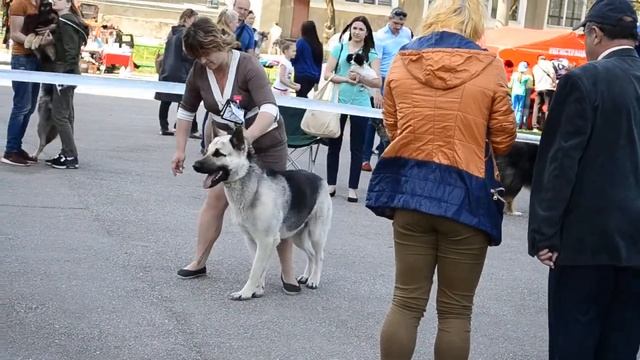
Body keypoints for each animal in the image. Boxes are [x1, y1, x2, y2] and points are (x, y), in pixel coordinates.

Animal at [192, 126, 332, 300]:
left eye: (218, 153)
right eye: (207, 151)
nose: (194, 165)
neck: (253, 189)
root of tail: (320, 179)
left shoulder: (266, 241)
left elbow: (256, 269)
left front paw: (245, 293)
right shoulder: (252, 241)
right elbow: (259, 267)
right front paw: (257, 290)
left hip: (316, 235)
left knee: (319, 256)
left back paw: (314, 280)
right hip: (297, 237)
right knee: (311, 255)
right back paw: (306, 276)